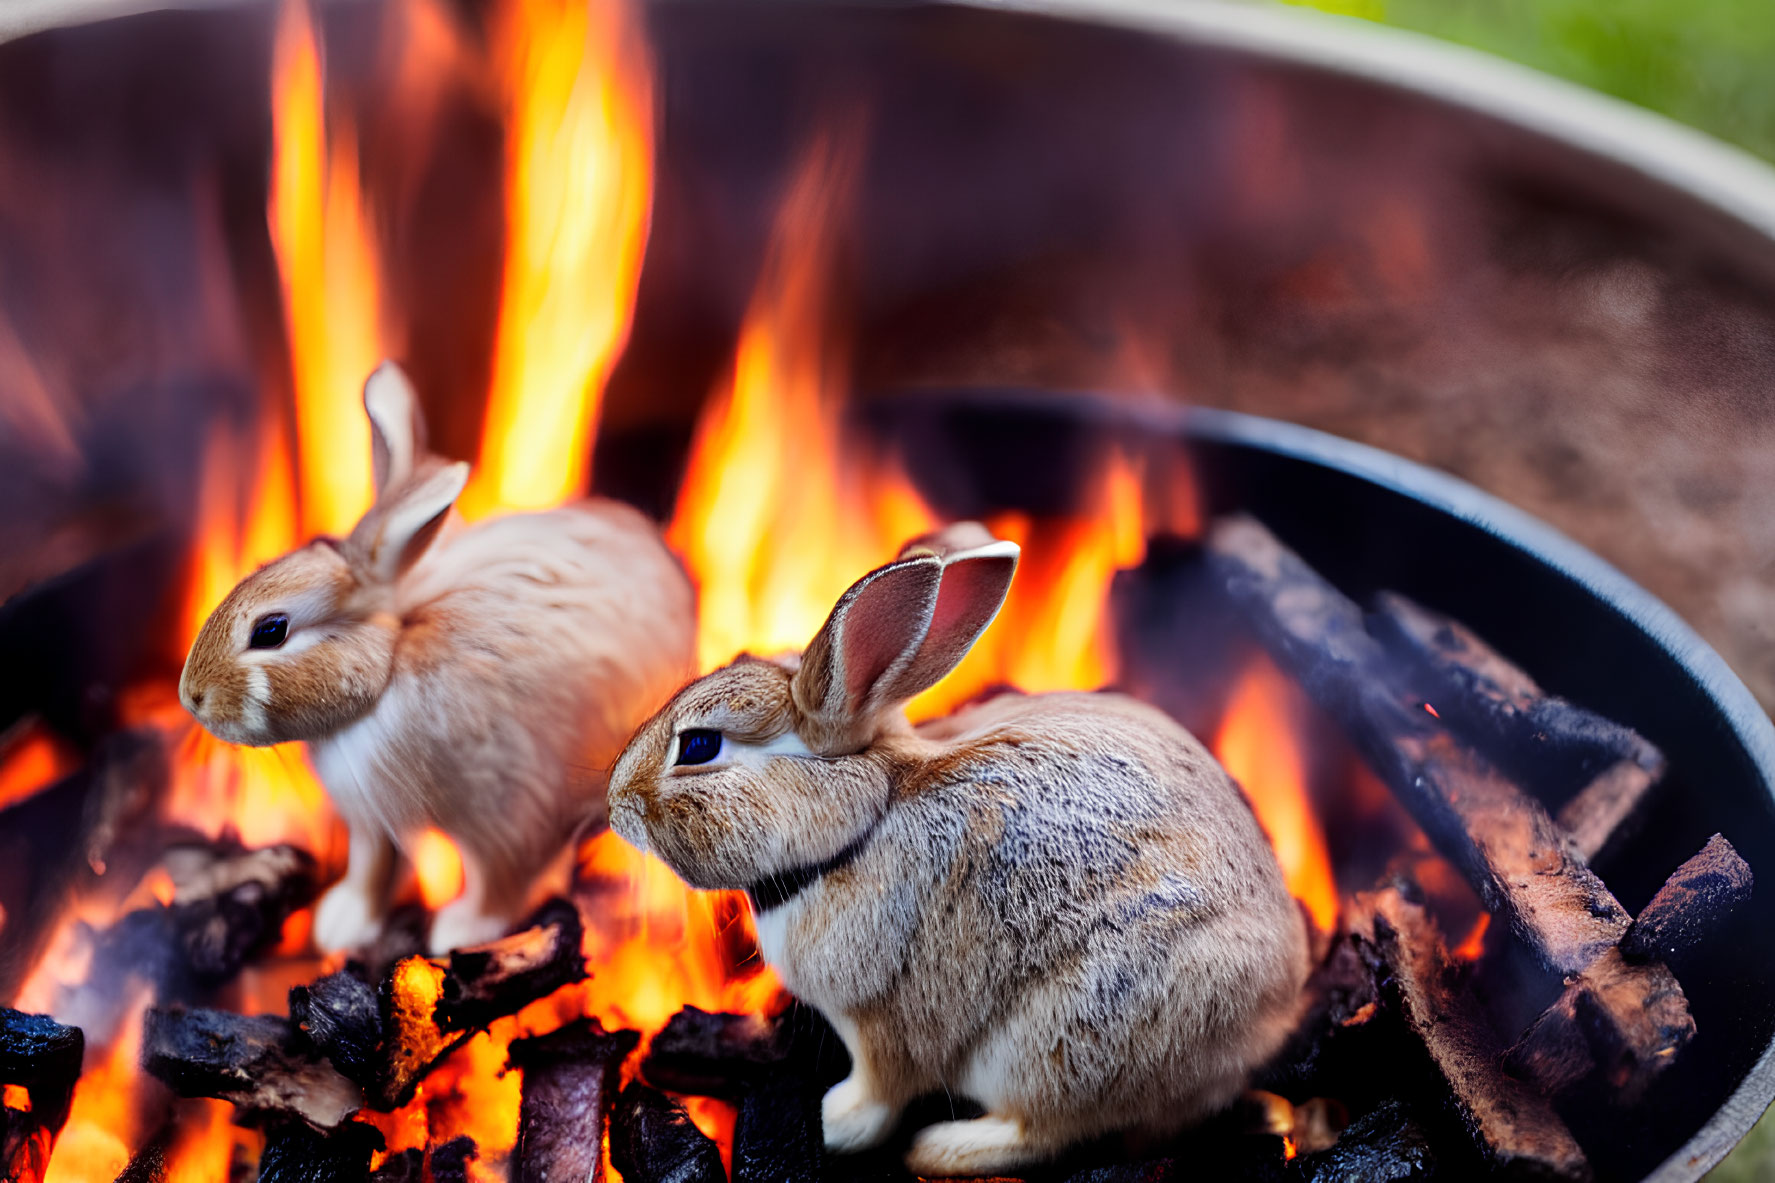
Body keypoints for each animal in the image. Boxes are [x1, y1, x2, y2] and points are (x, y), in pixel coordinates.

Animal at [178, 358, 692, 952]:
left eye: (271, 630)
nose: (190, 697)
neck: (383, 683)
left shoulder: (507, 812)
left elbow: (499, 882)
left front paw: (459, 932)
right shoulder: (374, 823)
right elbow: (371, 871)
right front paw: (342, 924)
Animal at [610, 522, 1320, 1172]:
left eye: (699, 747)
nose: (616, 805)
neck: (861, 821)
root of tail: (1268, 1021)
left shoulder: (885, 1022)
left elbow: (882, 1092)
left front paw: (836, 1124)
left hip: (1063, 1038)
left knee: (1045, 1130)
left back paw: (940, 1147)